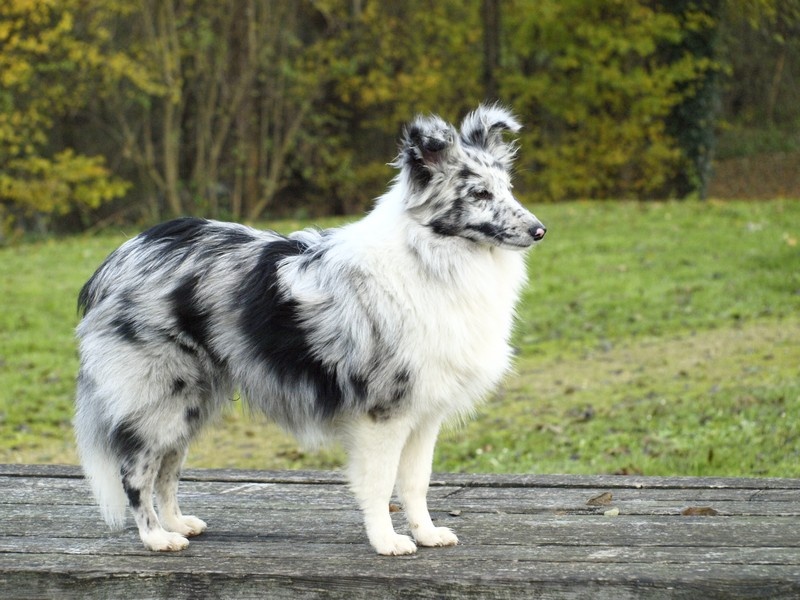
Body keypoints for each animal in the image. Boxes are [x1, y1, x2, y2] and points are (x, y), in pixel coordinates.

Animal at [73, 104, 544, 556]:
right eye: (479, 194)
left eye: (508, 189)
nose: (540, 230)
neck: (431, 257)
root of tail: (122, 254)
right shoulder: (383, 413)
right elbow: (379, 485)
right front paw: (387, 542)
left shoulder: (423, 413)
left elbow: (415, 483)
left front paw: (426, 534)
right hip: (160, 398)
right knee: (136, 472)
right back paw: (156, 537)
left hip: (192, 401)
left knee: (168, 467)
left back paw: (177, 523)